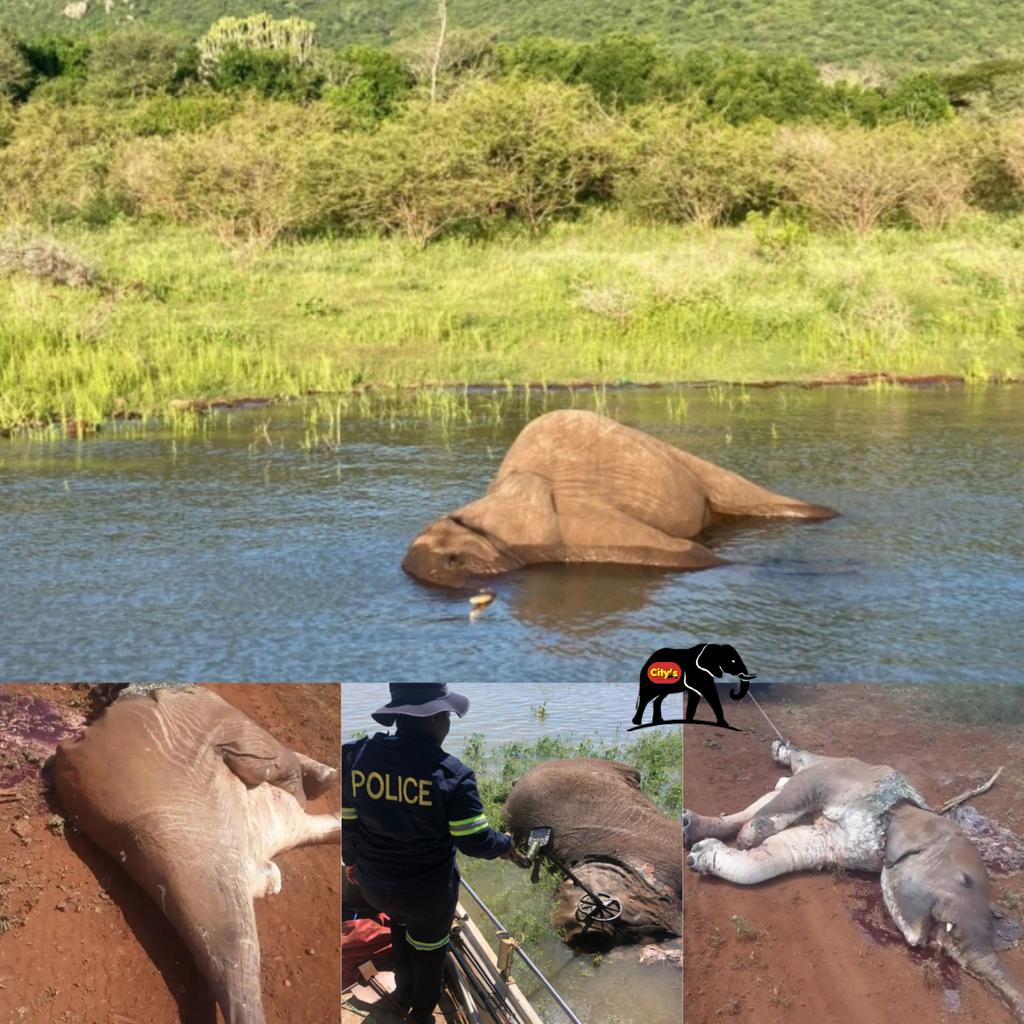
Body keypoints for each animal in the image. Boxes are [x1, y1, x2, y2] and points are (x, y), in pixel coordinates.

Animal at [685, 739, 1024, 1022]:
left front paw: (703, 855)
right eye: (965, 880)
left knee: (774, 791)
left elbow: (777, 853)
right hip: (836, 765)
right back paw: (778, 752)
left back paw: (692, 827)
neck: (900, 815)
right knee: (790, 777)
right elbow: (784, 805)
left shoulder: (835, 842)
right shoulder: (838, 783)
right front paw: (743, 839)